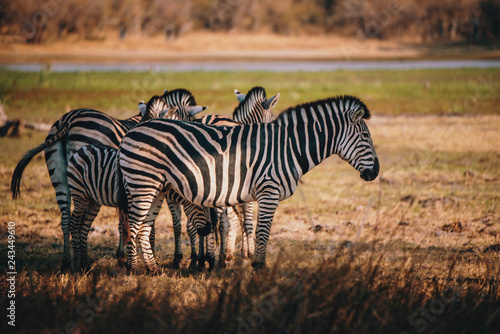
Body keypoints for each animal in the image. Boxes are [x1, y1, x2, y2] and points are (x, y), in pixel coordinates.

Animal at [11, 88, 207, 272]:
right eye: (188, 122)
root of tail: (67, 120)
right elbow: (157, 224)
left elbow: (126, 222)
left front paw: (125, 256)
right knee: (77, 221)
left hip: (60, 176)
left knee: (65, 218)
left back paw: (68, 263)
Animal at [116, 94, 378, 274]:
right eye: (366, 137)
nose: (375, 172)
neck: (288, 148)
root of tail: (133, 130)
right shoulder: (268, 191)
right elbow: (263, 231)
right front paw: (259, 268)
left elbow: (253, 227)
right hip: (142, 183)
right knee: (134, 225)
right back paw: (132, 269)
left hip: (157, 188)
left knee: (144, 228)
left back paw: (152, 270)